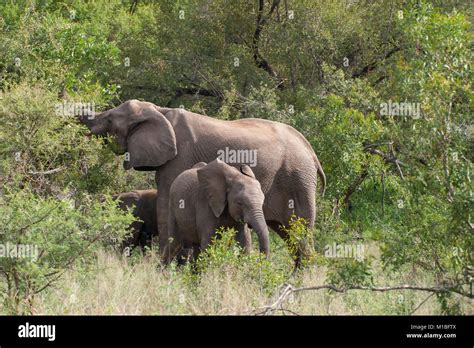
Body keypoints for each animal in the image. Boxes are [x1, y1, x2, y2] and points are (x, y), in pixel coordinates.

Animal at [80, 99, 326, 266]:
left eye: (110, 120)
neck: (160, 111)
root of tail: (312, 152)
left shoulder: (179, 158)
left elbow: (166, 204)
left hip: (298, 180)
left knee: (301, 234)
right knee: (290, 237)